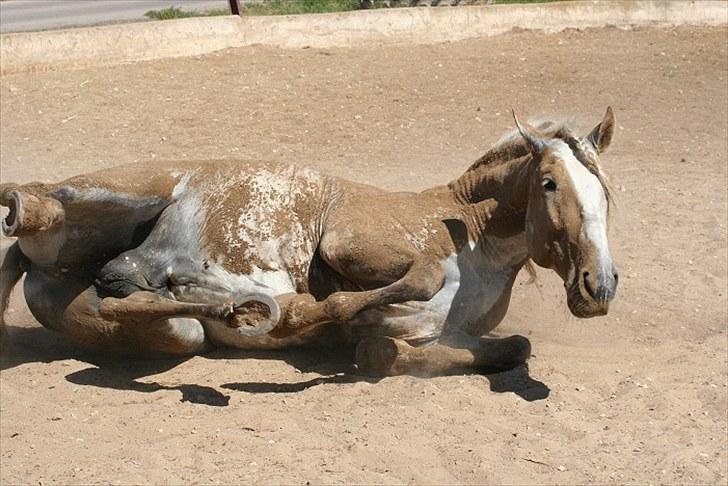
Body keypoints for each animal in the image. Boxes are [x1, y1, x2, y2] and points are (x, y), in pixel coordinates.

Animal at [0, 110, 620, 376]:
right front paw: (306, 313)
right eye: (550, 183)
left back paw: (223, 301)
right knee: (36, 206)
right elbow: (410, 282)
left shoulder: (445, 331)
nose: (600, 286)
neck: (468, 235)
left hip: (166, 327)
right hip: (123, 192)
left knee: (119, 291)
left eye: (605, 192)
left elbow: (508, 348)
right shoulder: (346, 242)